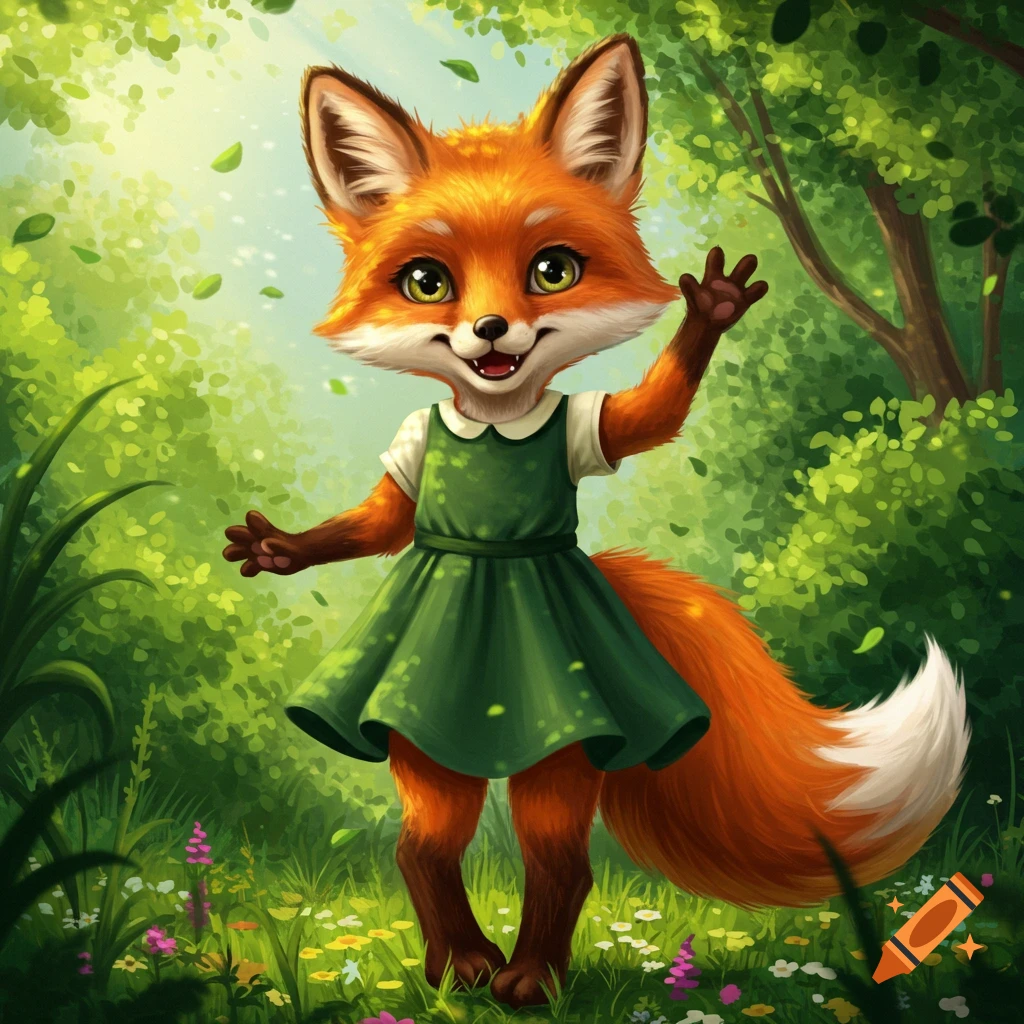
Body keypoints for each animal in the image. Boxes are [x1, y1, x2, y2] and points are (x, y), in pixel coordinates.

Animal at [223, 34, 970, 1009]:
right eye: (427, 282)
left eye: (554, 271)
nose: (491, 331)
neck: (493, 421)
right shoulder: (412, 453)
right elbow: (384, 522)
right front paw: (275, 547)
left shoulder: (591, 428)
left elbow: (649, 416)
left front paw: (710, 313)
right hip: (425, 750)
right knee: (423, 850)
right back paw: (459, 964)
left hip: (565, 753)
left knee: (558, 864)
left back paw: (528, 976)